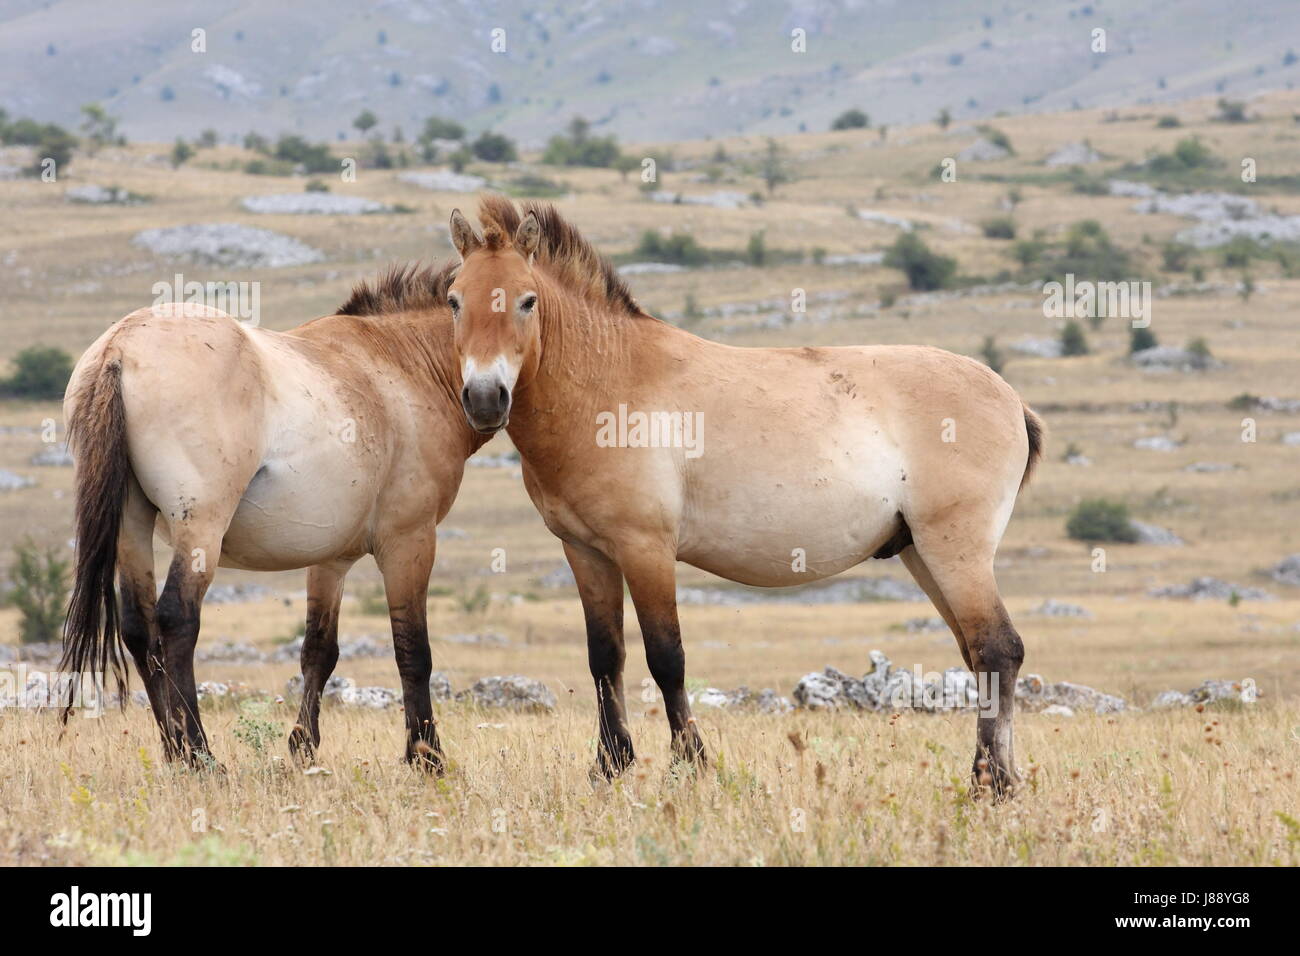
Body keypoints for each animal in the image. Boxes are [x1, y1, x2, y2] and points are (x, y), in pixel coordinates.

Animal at [61, 276, 483, 771]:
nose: (489, 401)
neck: (403, 363)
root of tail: (120, 347)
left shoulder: (330, 558)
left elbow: (319, 650)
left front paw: (302, 747)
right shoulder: (409, 542)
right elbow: (412, 649)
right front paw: (426, 755)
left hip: (132, 526)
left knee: (138, 628)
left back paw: (173, 751)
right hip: (200, 528)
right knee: (176, 620)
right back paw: (201, 757)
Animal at [443, 196, 1044, 796]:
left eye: (527, 301)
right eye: (453, 301)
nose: (485, 399)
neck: (608, 384)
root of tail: (1010, 398)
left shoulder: (646, 549)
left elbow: (666, 658)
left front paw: (691, 765)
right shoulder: (586, 551)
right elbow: (605, 659)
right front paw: (609, 767)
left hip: (955, 550)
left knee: (996, 647)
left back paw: (991, 783)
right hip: (922, 552)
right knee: (980, 651)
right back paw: (997, 777)